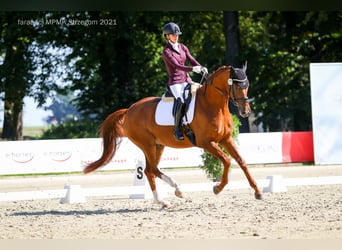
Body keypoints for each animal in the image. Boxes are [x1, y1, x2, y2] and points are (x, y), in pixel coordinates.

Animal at [84, 64, 264, 207]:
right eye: (237, 86)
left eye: (247, 85)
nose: (245, 112)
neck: (213, 105)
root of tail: (129, 110)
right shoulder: (206, 143)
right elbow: (227, 160)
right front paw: (217, 188)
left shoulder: (226, 139)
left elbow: (241, 161)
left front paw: (258, 191)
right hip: (147, 144)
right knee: (152, 169)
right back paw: (175, 191)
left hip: (158, 145)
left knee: (150, 170)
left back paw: (164, 200)